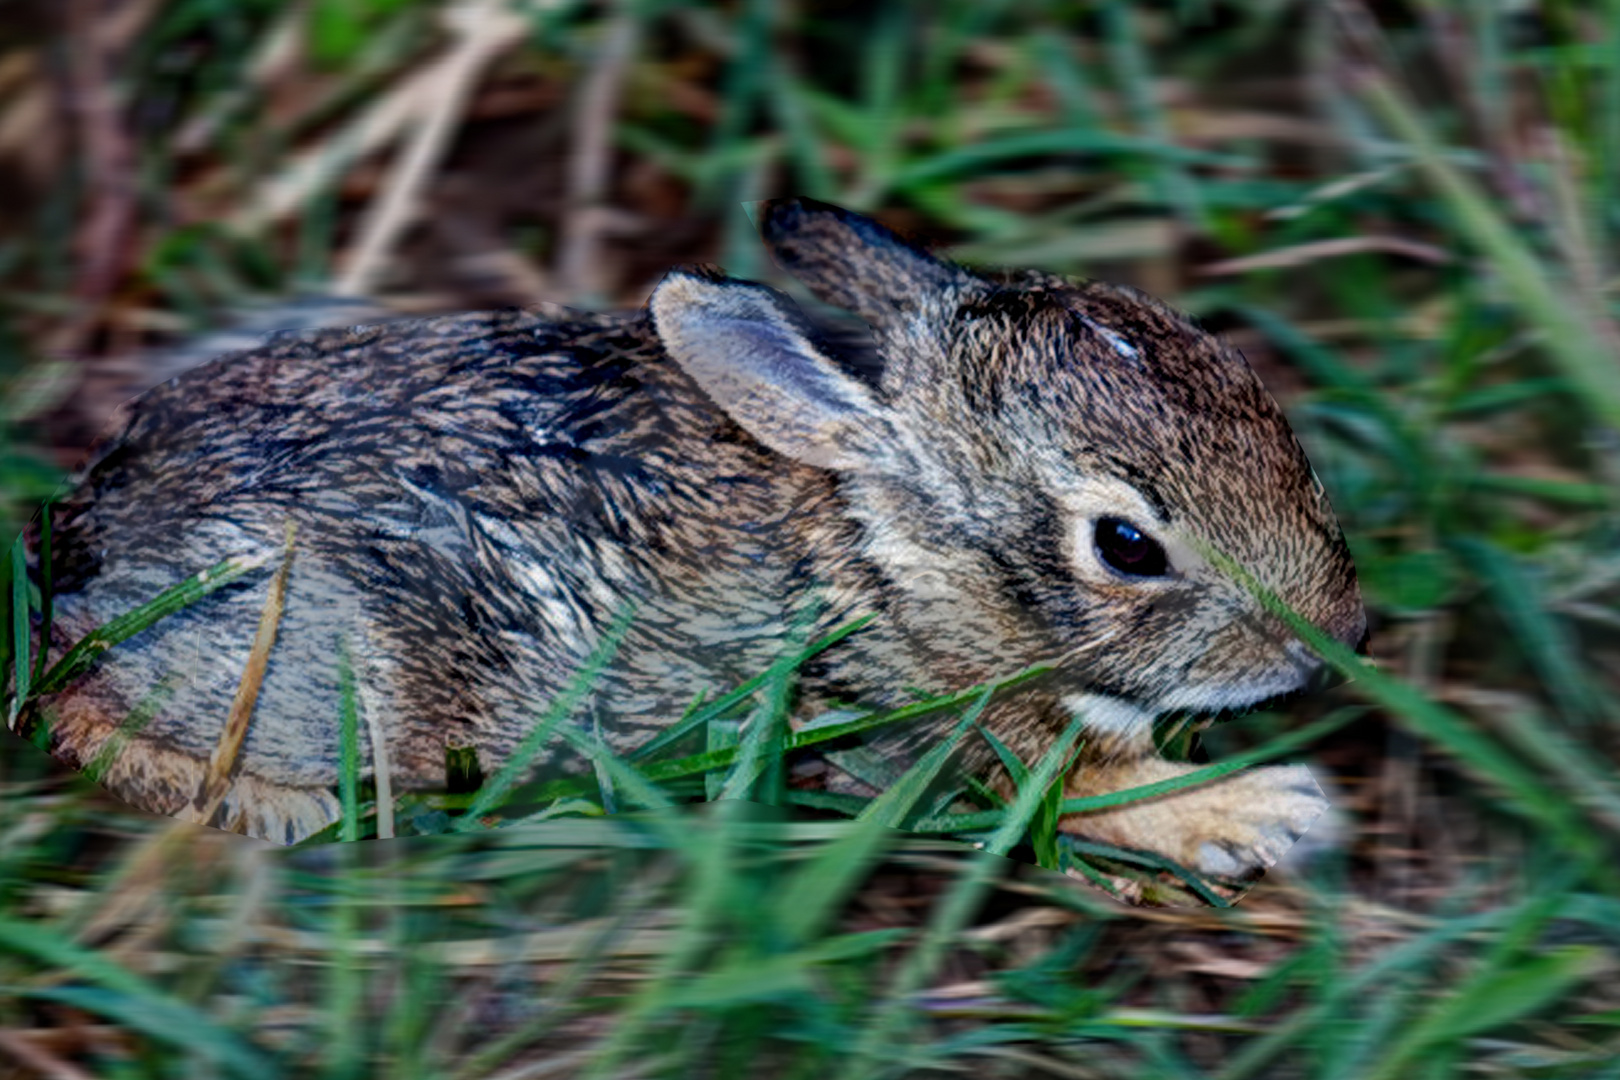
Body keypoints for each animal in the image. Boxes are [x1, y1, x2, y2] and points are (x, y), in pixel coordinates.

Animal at [19, 198, 1360, 880]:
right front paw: (1270, 812)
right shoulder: (937, 727)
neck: (895, 567)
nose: (1328, 642)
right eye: (1128, 545)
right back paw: (280, 812)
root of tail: (77, 551)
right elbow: (1095, 795)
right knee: (86, 715)